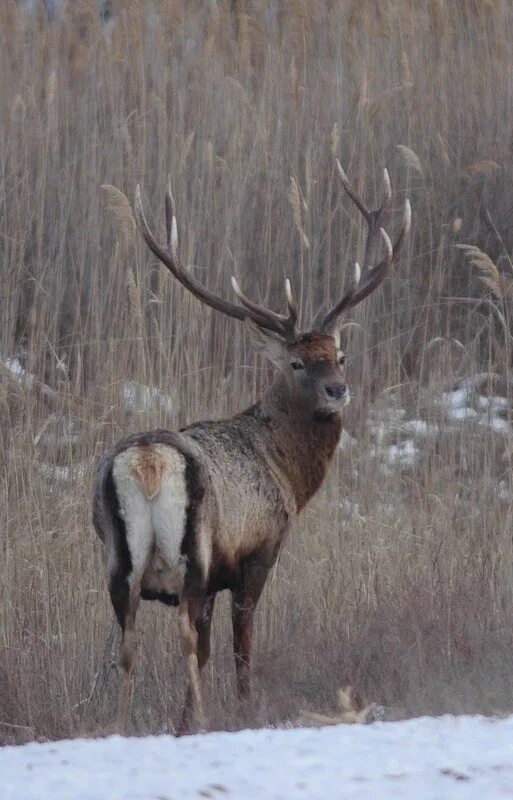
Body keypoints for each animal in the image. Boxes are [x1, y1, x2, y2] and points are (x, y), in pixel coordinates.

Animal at [94, 162, 410, 732]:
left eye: (341, 355)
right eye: (297, 362)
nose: (338, 390)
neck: (285, 472)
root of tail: (149, 461)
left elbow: (210, 649)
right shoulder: (256, 552)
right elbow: (241, 649)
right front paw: (241, 709)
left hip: (117, 560)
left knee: (130, 645)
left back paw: (123, 727)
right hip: (192, 553)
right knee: (186, 640)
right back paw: (194, 718)